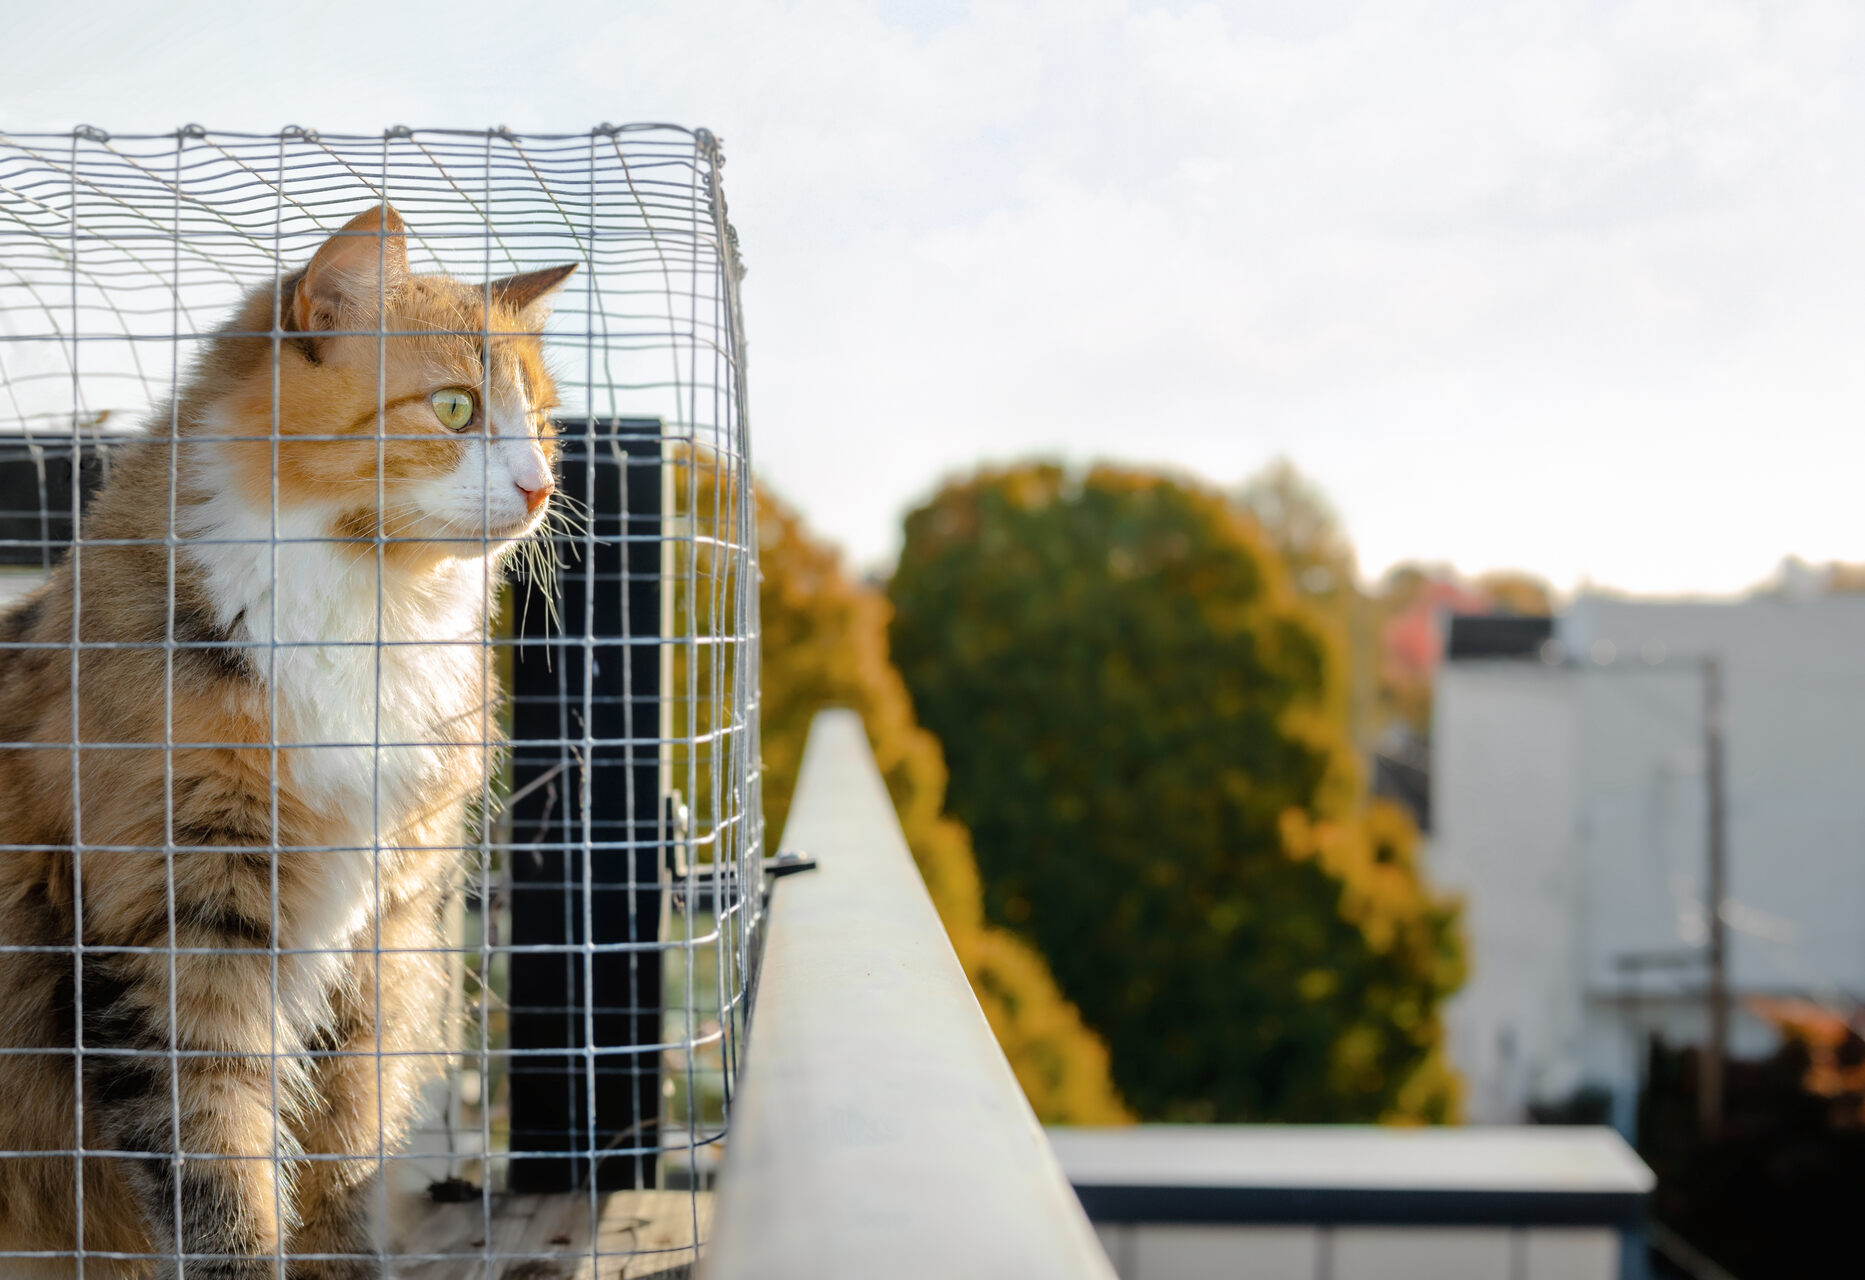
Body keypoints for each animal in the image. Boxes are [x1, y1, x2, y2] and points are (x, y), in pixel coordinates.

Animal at [0, 205, 574, 1276]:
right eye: (454, 409)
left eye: (546, 423)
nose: (539, 487)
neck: (375, 615)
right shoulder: (181, 929)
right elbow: (220, 1167)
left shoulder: (379, 939)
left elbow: (334, 1167)